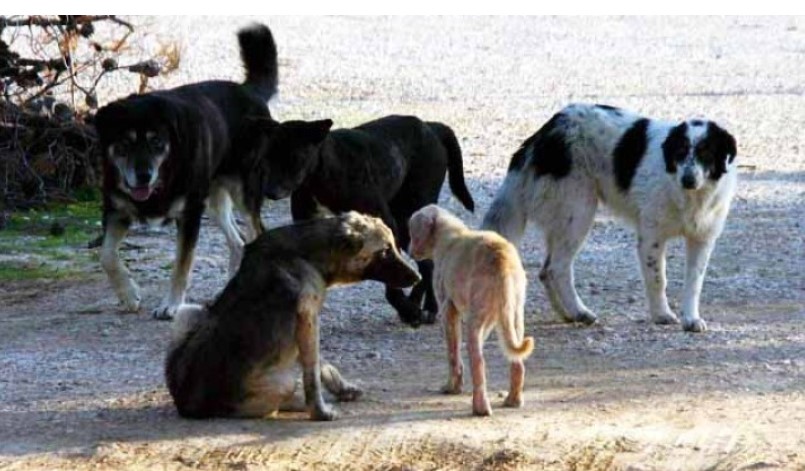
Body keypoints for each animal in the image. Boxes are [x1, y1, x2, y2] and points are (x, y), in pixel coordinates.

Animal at [94, 24, 278, 319]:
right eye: (124, 143)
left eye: (157, 142)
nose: (143, 176)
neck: (162, 178)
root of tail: (249, 91)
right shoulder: (116, 210)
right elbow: (107, 255)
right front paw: (129, 295)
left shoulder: (189, 214)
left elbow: (182, 264)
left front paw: (171, 305)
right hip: (213, 199)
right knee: (238, 243)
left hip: (243, 191)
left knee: (255, 232)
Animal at [165, 212, 421, 420]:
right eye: (385, 251)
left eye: (394, 246)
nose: (418, 277)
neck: (308, 254)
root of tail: (187, 405)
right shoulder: (308, 319)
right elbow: (312, 374)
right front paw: (320, 412)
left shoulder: (306, 326)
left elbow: (322, 365)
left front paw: (342, 389)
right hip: (283, 383)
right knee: (278, 403)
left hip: (189, 312)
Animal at [256, 115, 476, 327]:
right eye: (267, 157)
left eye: (294, 157)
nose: (269, 191)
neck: (324, 172)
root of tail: (431, 126)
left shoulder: (387, 224)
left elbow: (392, 275)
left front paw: (407, 309)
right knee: (425, 263)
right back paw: (417, 303)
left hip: (409, 215)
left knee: (428, 263)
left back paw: (428, 308)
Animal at [409, 204, 534, 416]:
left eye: (411, 232)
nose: (409, 252)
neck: (447, 232)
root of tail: (502, 260)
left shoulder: (448, 311)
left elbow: (453, 355)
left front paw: (452, 387)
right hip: (514, 317)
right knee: (517, 363)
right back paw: (513, 400)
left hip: (475, 322)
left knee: (478, 363)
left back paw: (480, 408)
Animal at [482, 103, 738, 333]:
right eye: (680, 152)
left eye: (706, 152)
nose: (688, 179)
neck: (690, 196)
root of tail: (545, 132)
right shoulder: (651, 237)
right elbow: (658, 279)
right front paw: (662, 314)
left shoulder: (702, 240)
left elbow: (694, 283)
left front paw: (691, 319)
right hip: (578, 211)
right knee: (557, 268)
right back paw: (579, 311)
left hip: (565, 219)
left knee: (545, 271)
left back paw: (567, 314)